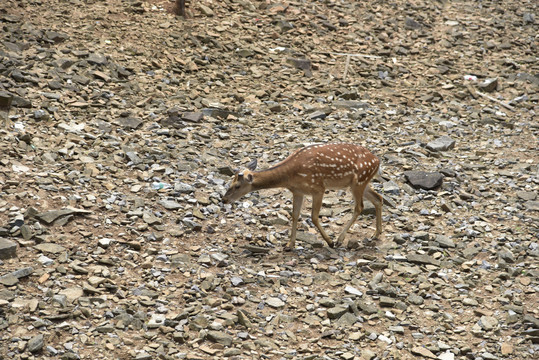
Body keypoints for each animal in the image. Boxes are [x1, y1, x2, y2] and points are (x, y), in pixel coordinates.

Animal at [224, 143, 384, 250]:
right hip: (361, 182)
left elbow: (313, 217)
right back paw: (376, 234)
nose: (223, 199)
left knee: (359, 207)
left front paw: (330, 242)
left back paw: (339, 240)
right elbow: (295, 215)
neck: (290, 176)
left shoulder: (318, 188)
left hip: (359, 181)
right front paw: (289, 245)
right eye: (229, 182)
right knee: (378, 198)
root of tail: (377, 161)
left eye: (237, 186)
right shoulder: (297, 191)